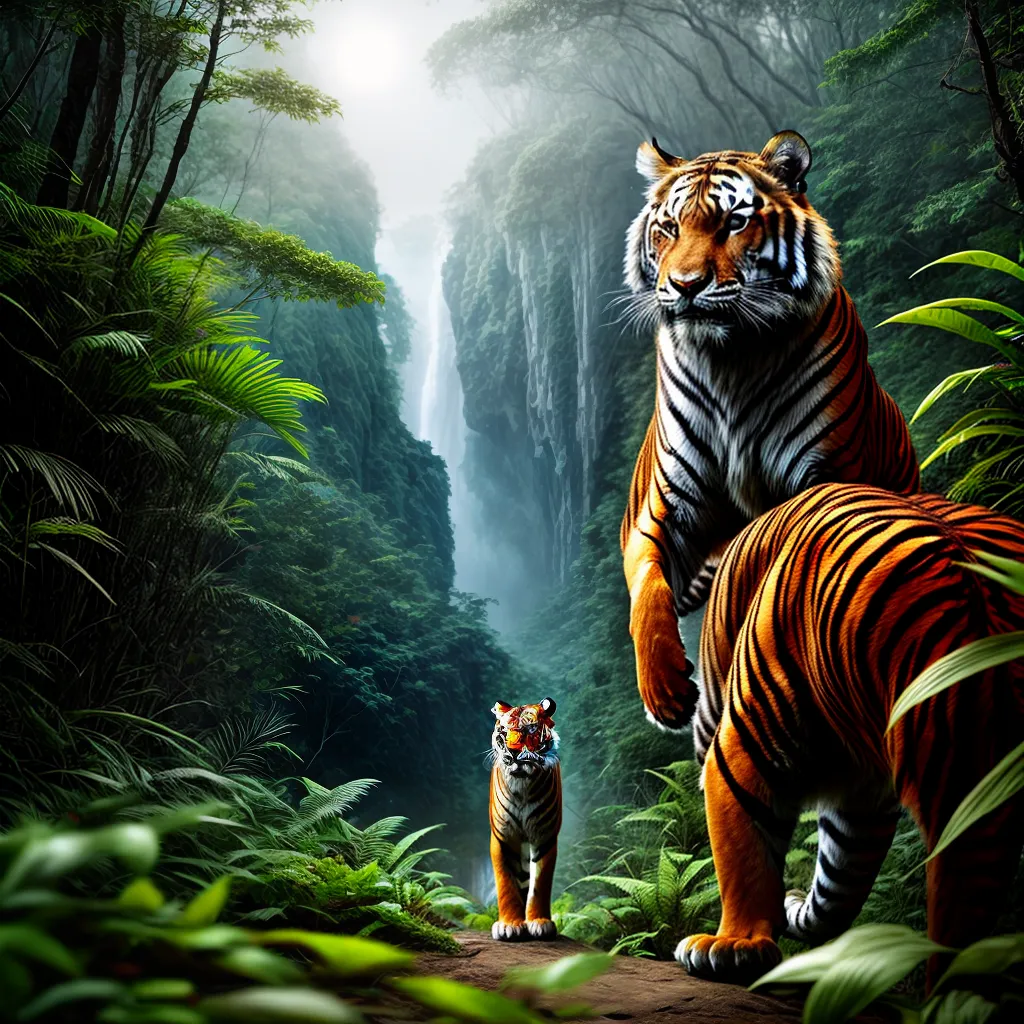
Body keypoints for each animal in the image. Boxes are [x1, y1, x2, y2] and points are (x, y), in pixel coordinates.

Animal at [488, 698, 562, 941]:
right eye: (503, 731)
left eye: (530, 729)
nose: (512, 752)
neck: (521, 784)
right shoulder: (504, 837)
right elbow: (506, 882)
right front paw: (509, 925)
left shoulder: (544, 836)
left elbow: (540, 882)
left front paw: (540, 922)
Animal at [620, 130, 919, 732]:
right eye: (669, 229)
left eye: (734, 223)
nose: (685, 286)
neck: (730, 358)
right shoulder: (665, 508)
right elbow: (647, 586)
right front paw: (663, 686)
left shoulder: (826, 472)